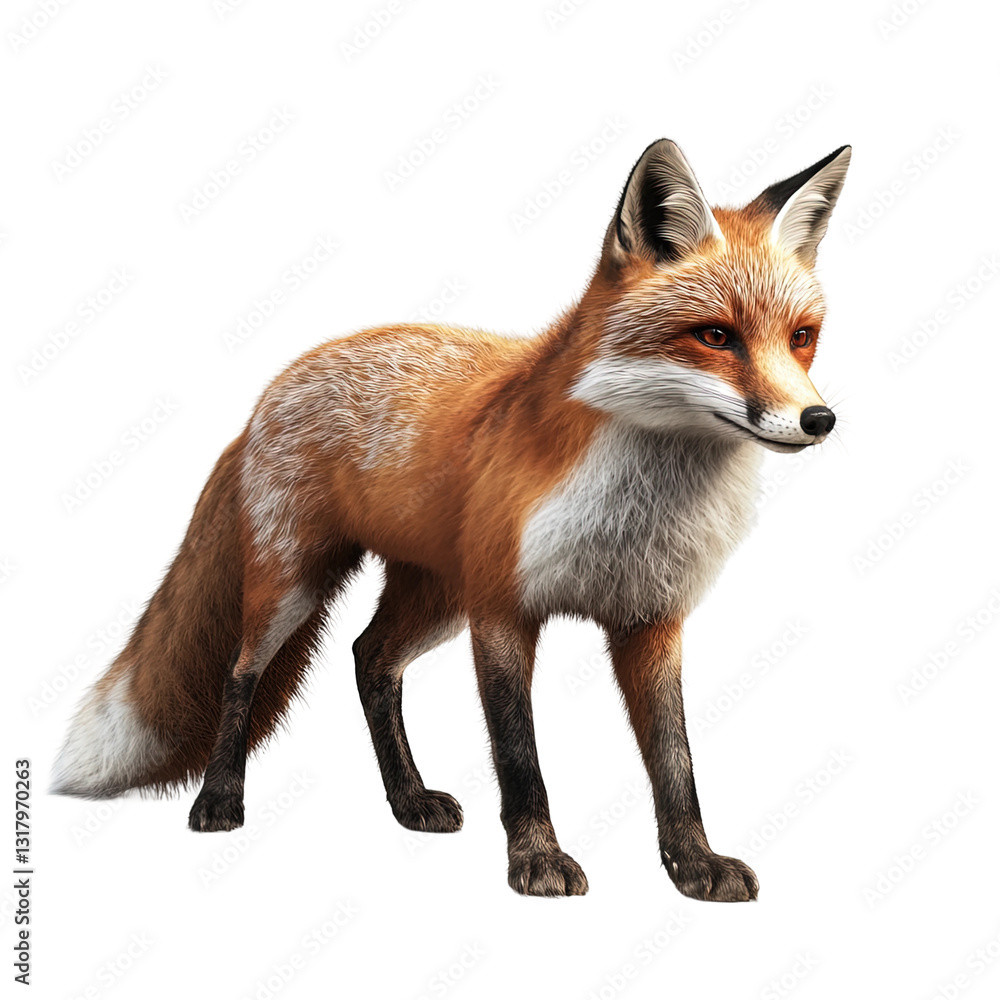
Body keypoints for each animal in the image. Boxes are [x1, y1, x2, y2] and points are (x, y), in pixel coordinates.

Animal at [52, 139, 850, 901]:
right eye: (715, 337)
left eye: (802, 336)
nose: (819, 419)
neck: (633, 511)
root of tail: (275, 387)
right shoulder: (501, 610)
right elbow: (520, 759)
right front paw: (538, 861)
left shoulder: (650, 619)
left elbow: (675, 763)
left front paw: (694, 864)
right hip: (297, 586)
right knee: (242, 672)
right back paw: (219, 800)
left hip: (435, 598)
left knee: (369, 659)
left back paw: (407, 800)